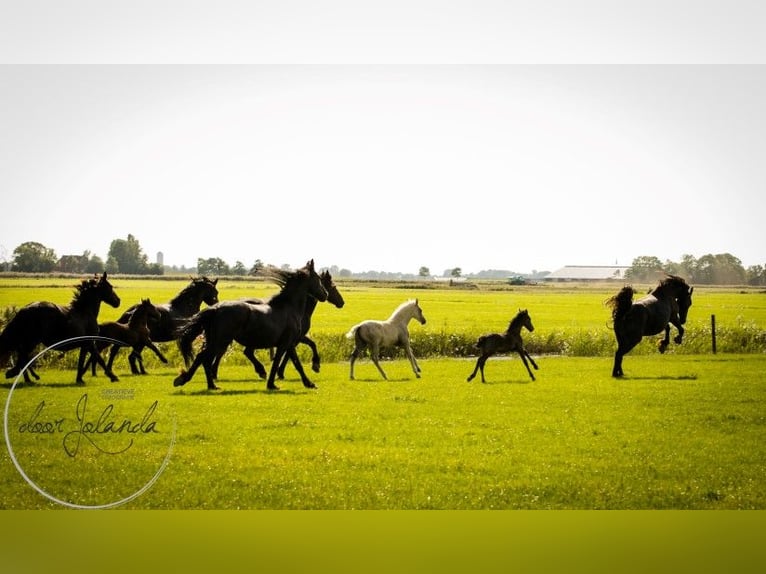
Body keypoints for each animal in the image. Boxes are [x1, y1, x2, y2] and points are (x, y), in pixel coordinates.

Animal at [173, 260, 328, 391]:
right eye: (318, 278)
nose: (325, 294)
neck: (289, 308)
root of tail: (216, 309)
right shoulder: (287, 343)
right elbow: (295, 363)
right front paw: (310, 381)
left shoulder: (287, 344)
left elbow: (282, 362)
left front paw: (272, 384)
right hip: (220, 341)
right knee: (204, 357)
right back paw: (192, 381)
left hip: (216, 340)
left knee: (205, 359)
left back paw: (209, 385)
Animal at [211, 269, 345, 381]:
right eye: (333, 286)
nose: (342, 302)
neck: (299, 310)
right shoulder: (296, 338)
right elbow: (299, 350)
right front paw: (314, 366)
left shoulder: (294, 338)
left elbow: (298, 350)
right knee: (234, 352)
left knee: (235, 352)